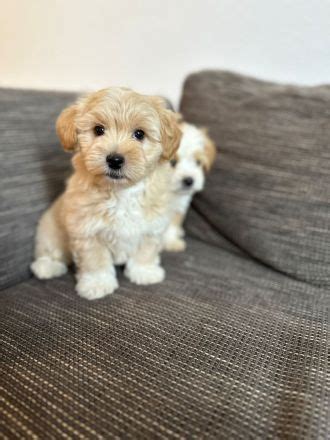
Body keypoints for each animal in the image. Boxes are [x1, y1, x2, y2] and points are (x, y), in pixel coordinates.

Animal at [31, 87, 182, 300]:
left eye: (139, 134)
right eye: (98, 130)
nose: (115, 159)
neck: (121, 191)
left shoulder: (152, 225)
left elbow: (146, 249)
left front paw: (144, 272)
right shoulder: (87, 230)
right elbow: (95, 260)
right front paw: (97, 284)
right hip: (51, 229)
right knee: (50, 249)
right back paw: (47, 266)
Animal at [163, 122, 217, 253]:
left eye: (198, 162)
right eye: (172, 162)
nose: (189, 180)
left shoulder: (178, 209)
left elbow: (172, 226)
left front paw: (171, 242)